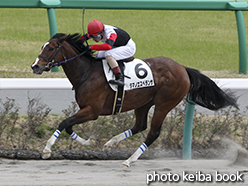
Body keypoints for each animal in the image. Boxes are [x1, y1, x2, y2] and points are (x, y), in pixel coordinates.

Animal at [31, 33, 238, 167]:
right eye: (42, 47)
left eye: (50, 48)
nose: (35, 66)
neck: (87, 73)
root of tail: (182, 68)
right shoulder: (85, 109)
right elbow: (68, 126)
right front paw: (90, 143)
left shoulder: (92, 111)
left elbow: (64, 122)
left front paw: (47, 150)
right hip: (144, 103)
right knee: (140, 126)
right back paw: (110, 143)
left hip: (164, 104)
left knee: (153, 132)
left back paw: (129, 160)